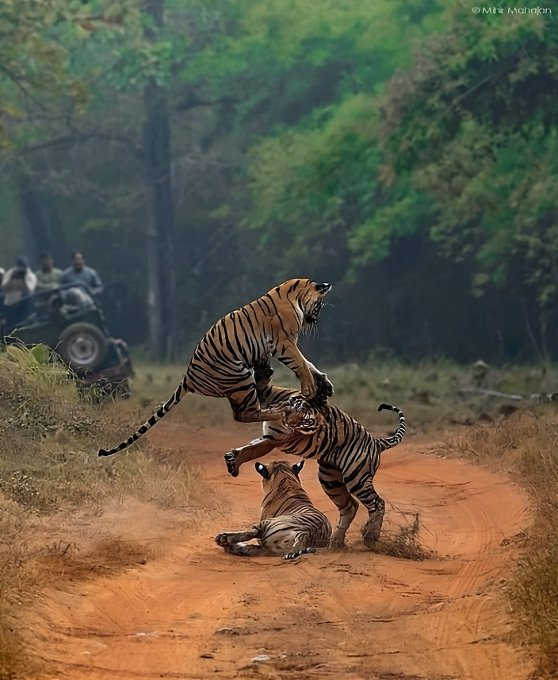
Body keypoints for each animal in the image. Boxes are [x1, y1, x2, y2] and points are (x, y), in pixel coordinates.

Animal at [97, 278, 332, 460]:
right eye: (320, 306)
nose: (315, 319)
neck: (295, 294)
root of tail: (188, 377)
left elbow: (308, 363)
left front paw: (324, 384)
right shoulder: (284, 343)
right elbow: (301, 362)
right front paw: (310, 388)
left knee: (255, 399)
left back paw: (271, 381)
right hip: (240, 377)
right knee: (245, 413)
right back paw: (282, 409)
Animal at [225, 358, 410, 548]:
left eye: (307, 421)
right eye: (295, 410)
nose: (290, 423)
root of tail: (376, 441)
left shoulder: (274, 439)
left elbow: (253, 449)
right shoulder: (270, 432)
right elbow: (250, 448)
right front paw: (232, 460)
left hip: (357, 478)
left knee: (377, 503)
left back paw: (370, 536)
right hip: (330, 480)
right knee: (350, 506)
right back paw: (336, 542)